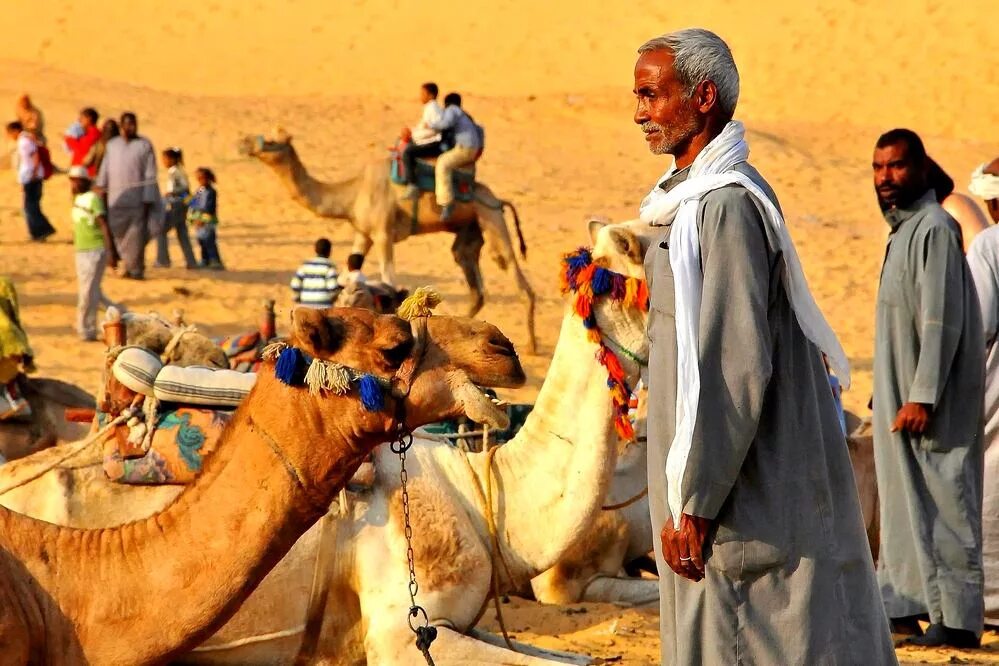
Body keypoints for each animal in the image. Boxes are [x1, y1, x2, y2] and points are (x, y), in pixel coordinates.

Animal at [236, 129, 540, 352]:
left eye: (272, 140)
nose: (243, 142)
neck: (352, 194)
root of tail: (498, 199)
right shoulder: (364, 234)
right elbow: (350, 270)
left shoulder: (383, 233)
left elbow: (389, 279)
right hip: (469, 230)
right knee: (473, 279)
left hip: (491, 217)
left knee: (510, 267)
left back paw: (531, 345)